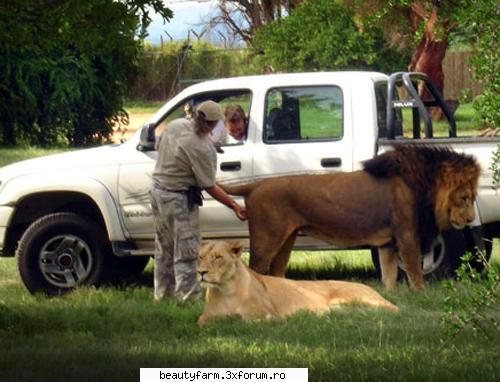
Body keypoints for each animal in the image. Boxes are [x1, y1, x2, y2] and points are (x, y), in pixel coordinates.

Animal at [197, 242, 396, 326]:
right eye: (200, 257)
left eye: (218, 257)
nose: (201, 273)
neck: (227, 289)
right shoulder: (206, 316)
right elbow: (202, 321)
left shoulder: (271, 316)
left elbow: (248, 320)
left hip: (357, 297)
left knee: (395, 309)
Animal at [220, 145, 480, 290]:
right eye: (464, 197)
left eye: (473, 197)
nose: (469, 220)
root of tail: (255, 185)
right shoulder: (406, 235)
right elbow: (415, 272)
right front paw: (420, 295)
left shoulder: (387, 243)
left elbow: (389, 277)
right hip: (266, 240)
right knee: (253, 271)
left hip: (286, 240)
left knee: (276, 273)